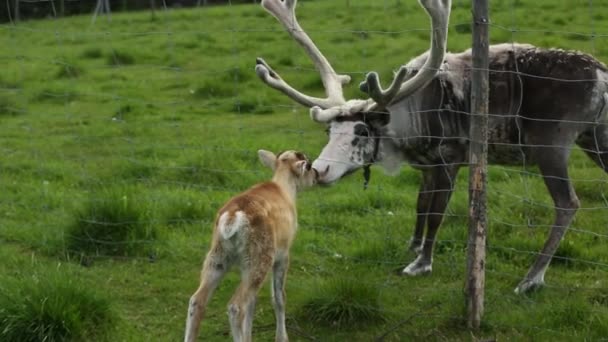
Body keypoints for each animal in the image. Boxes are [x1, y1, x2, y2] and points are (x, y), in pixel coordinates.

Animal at [183, 150, 320, 342]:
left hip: (219, 257)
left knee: (197, 300)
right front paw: (282, 337)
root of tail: (232, 218)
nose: (317, 175)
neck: (285, 190)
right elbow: (278, 298)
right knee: (235, 306)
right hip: (260, 258)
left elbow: (253, 304)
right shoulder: (283, 254)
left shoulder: (244, 266)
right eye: (309, 165)